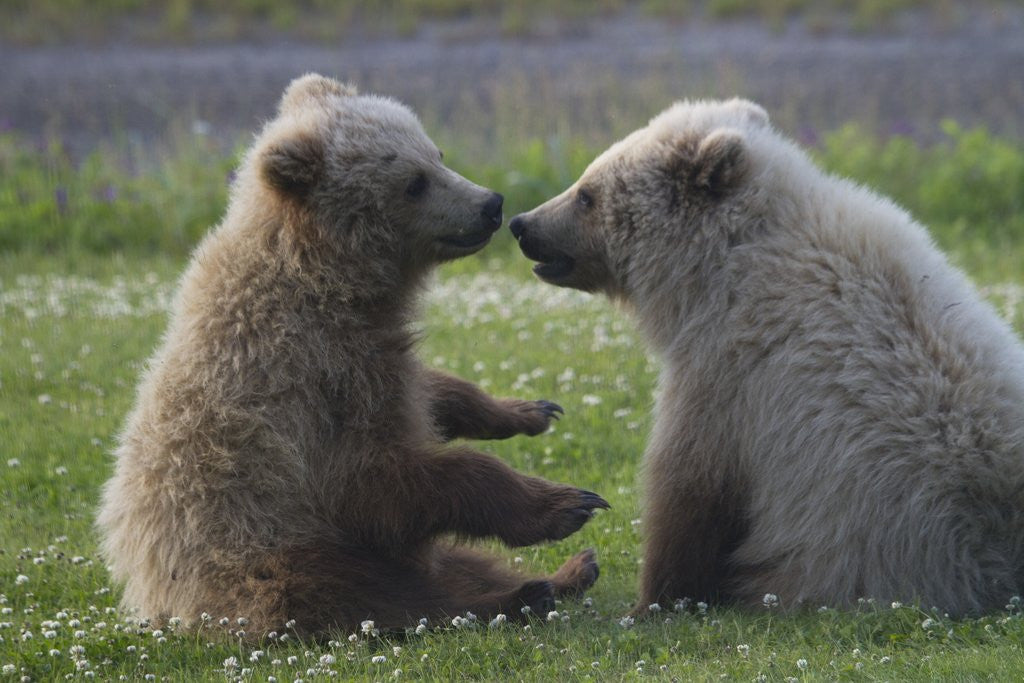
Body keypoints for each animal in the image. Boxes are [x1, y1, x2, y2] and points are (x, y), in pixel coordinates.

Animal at [96, 74, 608, 638]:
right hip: (276, 556)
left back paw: (569, 573)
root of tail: (160, 602)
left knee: (458, 566)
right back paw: (523, 593)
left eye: (437, 153)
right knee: (386, 596)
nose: (491, 204)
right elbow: (377, 483)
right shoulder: (306, 386)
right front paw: (566, 502)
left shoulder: (374, 357)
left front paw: (527, 410)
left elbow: (428, 392)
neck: (332, 282)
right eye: (413, 182)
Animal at [509, 98, 1024, 616]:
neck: (717, 268)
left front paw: (653, 599)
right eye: (584, 178)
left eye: (587, 194)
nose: (522, 224)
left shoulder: (731, 369)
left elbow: (689, 488)